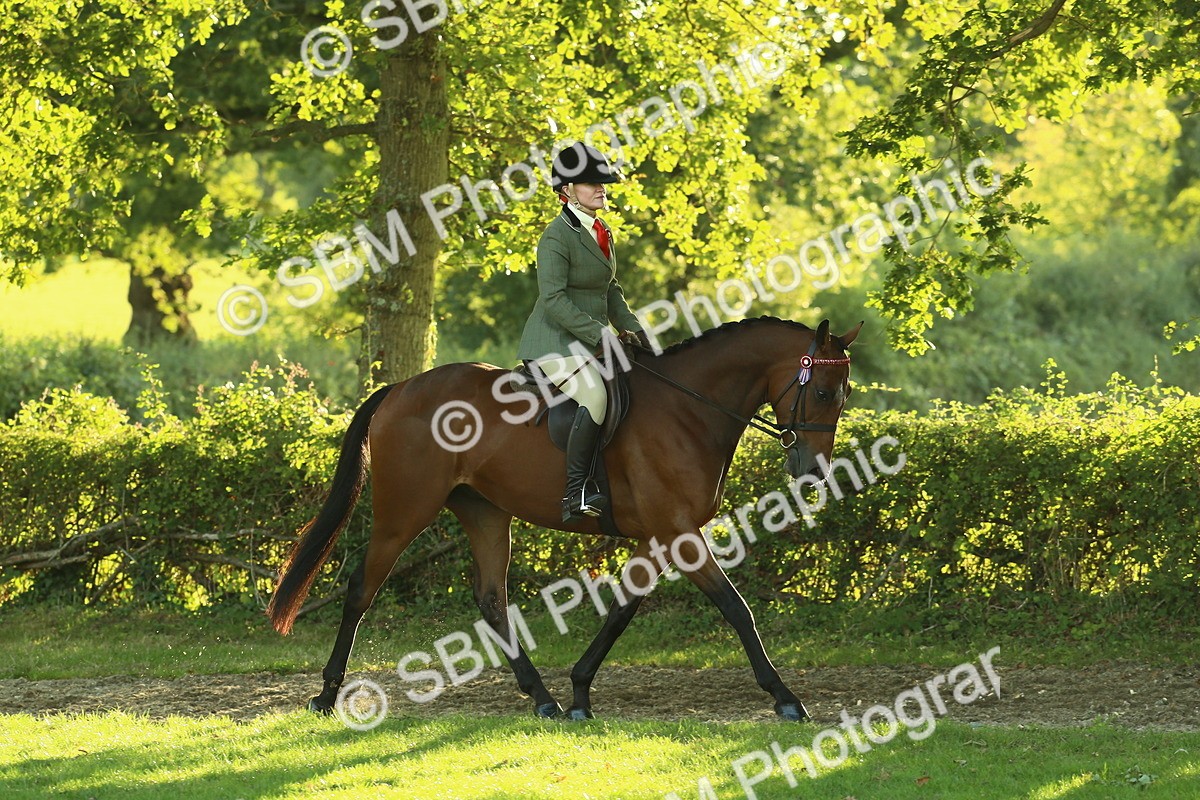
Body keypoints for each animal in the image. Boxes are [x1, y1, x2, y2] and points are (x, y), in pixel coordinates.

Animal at [267, 316, 861, 721]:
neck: (689, 411)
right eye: (822, 390)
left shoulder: (660, 536)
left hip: (484, 512)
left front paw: (579, 691)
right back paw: (327, 694)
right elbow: (737, 610)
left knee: (491, 599)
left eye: (845, 393)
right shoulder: (679, 533)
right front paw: (786, 699)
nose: (814, 472)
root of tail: (401, 388)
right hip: (404, 511)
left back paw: (544, 699)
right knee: (361, 589)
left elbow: (622, 610)